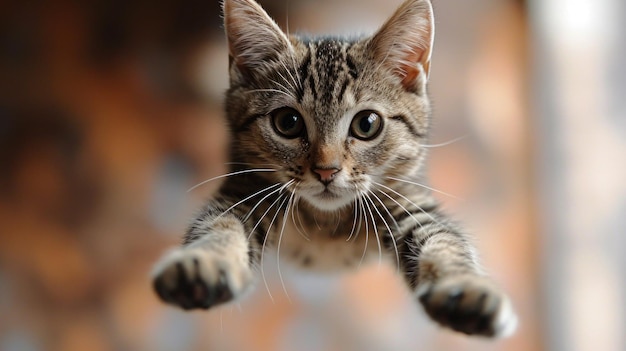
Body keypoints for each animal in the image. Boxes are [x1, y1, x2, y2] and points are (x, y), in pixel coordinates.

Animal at [152, 0, 516, 340]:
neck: (326, 223)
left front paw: (466, 288)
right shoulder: (245, 190)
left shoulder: (407, 200)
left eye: (367, 124)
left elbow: (443, 241)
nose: (326, 171)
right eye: (287, 122)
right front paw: (203, 264)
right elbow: (219, 225)